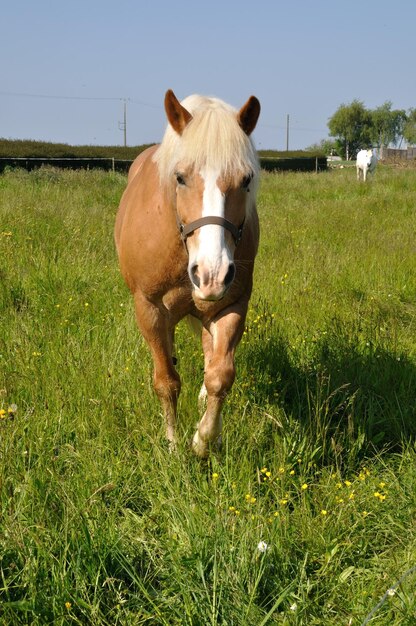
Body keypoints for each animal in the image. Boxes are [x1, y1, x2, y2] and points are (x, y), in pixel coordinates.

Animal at [114, 90, 260, 456]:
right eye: (180, 177)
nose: (212, 273)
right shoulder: (150, 309)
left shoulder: (231, 304)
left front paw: (205, 439)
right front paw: (172, 444)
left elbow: (220, 375)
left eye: (246, 180)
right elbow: (166, 381)